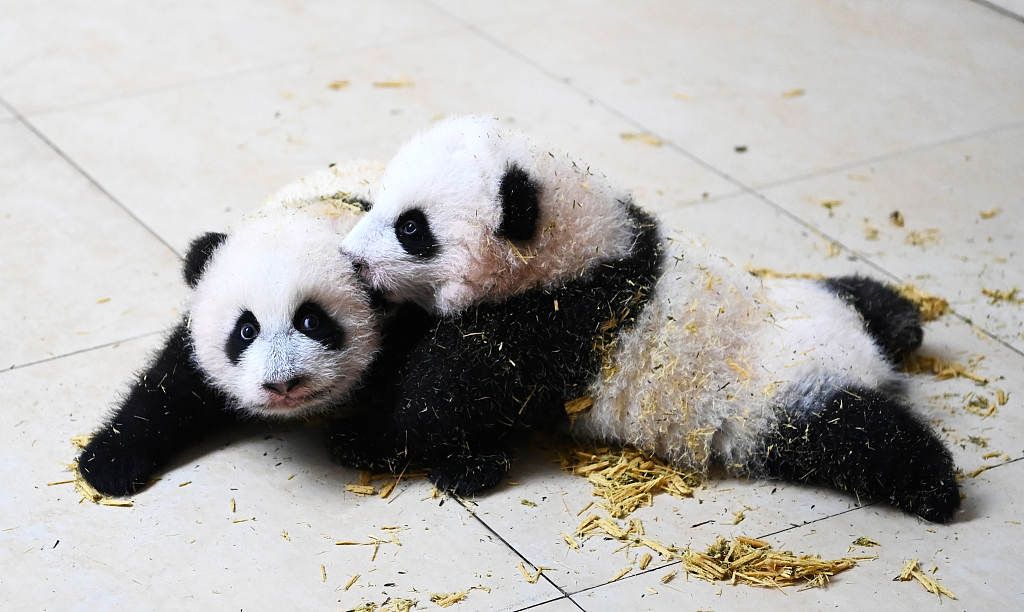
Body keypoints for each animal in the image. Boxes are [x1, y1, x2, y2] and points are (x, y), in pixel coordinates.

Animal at [78, 161, 387, 497]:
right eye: (246, 330)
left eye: (311, 321)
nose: (282, 385)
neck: (323, 209)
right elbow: (169, 383)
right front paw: (107, 463)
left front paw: (358, 441)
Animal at [333, 116, 960, 522]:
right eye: (380, 202)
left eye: (412, 228)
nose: (353, 259)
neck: (584, 248)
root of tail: (864, 360)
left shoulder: (561, 318)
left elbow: (450, 392)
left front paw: (397, 444)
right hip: (812, 300)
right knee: (854, 297)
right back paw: (903, 321)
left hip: (779, 403)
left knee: (859, 437)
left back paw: (937, 489)